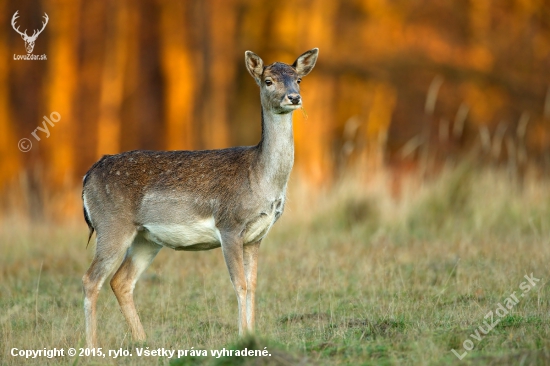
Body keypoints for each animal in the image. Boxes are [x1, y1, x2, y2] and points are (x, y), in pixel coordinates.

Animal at [84, 48, 322, 346]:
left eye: (298, 80)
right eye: (268, 81)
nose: (294, 97)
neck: (260, 179)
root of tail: (87, 178)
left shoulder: (257, 235)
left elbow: (254, 285)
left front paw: (253, 335)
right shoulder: (230, 225)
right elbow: (240, 284)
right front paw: (242, 338)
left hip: (146, 238)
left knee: (121, 281)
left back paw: (143, 341)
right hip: (112, 225)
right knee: (91, 279)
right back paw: (94, 347)